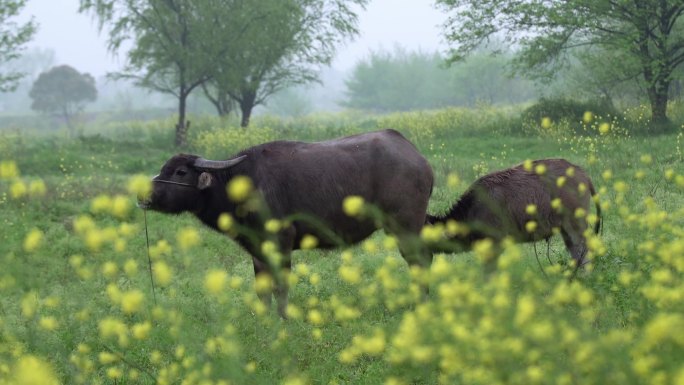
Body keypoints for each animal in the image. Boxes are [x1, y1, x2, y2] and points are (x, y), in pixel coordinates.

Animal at [139, 129, 432, 316]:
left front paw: (283, 318)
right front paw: (264, 319)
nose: (144, 195)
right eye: (164, 168)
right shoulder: (257, 249)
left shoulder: (281, 242)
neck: (243, 185)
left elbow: (280, 285)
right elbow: (262, 288)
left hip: (406, 224)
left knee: (419, 260)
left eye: (180, 172)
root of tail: (419, 158)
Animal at [428, 157, 600, 268]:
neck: (474, 206)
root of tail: (581, 173)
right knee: (575, 251)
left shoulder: (494, 245)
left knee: (583, 250)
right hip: (565, 229)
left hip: (575, 225)